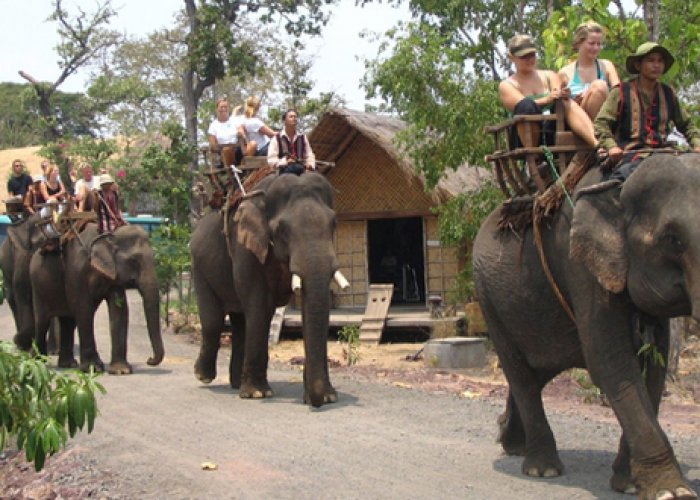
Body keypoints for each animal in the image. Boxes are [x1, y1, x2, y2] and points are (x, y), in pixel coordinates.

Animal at [30, 224, 165, 376]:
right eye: (134, 261)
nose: (149, 360)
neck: (108, 234)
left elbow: (120, 310)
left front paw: (121, 371)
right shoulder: (77, 270)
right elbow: (84, 309)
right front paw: (93, 368)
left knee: (68, 322)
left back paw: (68, 364)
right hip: (37, 286)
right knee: (42, 321)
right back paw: (37, 361)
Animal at [191, 172, 348, 406]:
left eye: (334, 223)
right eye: (282, 229)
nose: (316, 402)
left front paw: (328, 397)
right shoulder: (245, 245)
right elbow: (259, 305)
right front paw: (257, 394)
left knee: (240, 322)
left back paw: (236, 383)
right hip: (199, 267)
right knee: (213, 321)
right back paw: (204, 376)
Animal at [474, 154, 696, 498]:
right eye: (672, 239)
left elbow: (652, 367)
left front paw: (630, 484)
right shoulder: (580, 266)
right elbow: (610, 362)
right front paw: (670, 491)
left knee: (536, 373)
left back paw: (511, 442)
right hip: (489, 299)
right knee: (520, 372)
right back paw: (542, 469)